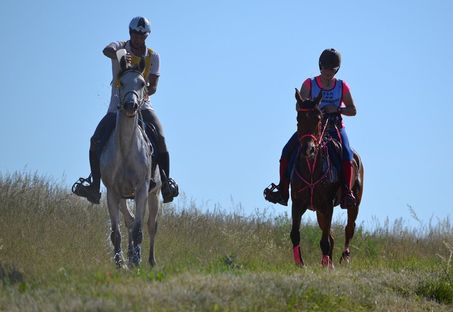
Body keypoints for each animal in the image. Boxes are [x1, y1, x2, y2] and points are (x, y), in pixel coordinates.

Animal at [100, 53, 161, 268]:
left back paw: (150, 260)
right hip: (123, 197)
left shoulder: (142, 189)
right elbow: (117, 232)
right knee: (129, 219)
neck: (126, 148)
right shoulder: (112, 193)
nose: (130, 106)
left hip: (154, 194)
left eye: (142, 83)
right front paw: (121, 263)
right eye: (122, 82)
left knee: (151, 225)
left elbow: (138, 230)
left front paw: (136, 260)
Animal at [290, 89, 364, 268]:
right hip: (319, 211)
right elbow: (295, 234)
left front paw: (326, 265)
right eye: (298, 118)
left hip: (354, 203)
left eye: (318, 118)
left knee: (349, 229)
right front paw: (300, 263)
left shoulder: (327, 205)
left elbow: (325, 241)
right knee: (331, 235)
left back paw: (344, 258)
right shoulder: (297, 204)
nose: (308, 149)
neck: (311, 168)